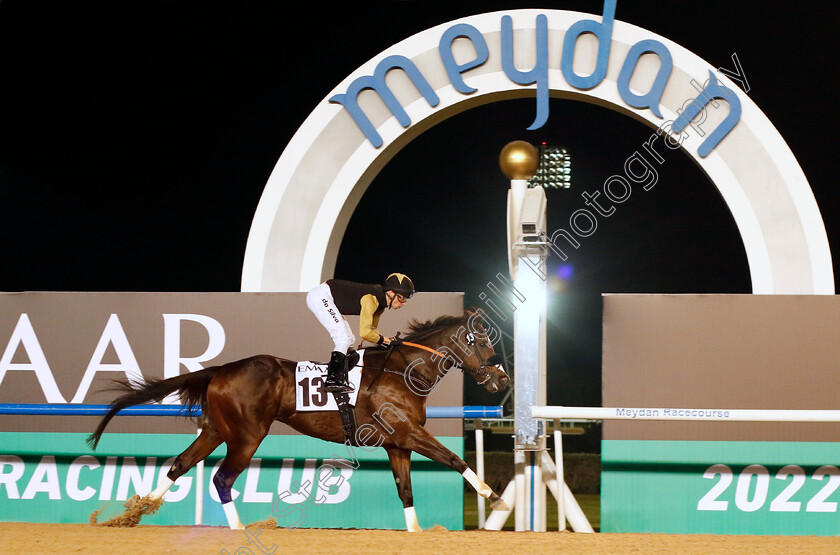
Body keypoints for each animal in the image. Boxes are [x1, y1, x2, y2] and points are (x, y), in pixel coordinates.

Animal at [88, 310, 508, 532]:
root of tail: (222, 370)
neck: (404, 372)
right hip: (247, 435)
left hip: (216, 429)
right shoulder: (409, 431)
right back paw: (238, 529)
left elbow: (405, 489)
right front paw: (495, 498)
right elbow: (454, 458)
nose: (502, 379)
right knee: (221, 478)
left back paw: (135, 512)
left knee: (181, 464)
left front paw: (416, 531)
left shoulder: (396, 443)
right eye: (481, 341)